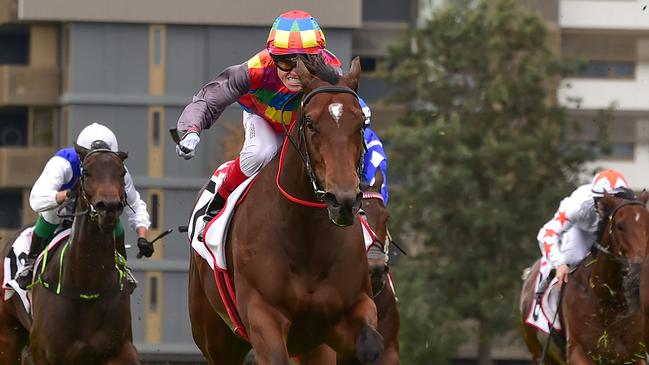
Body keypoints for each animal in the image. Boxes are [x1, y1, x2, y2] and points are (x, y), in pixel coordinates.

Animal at [187, 58, 382, 362]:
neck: (307, 239)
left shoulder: (353, 309)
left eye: (362, 123)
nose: (343, 200)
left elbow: (371, 344)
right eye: (310, 123)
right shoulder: (263, 314)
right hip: (214, 336)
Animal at [520, 192, 648, 362]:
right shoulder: (577, 352)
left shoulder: (635, 356)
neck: (608, 303)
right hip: (539, 353)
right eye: (620, 226)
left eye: (648, 225)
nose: (638, 269)